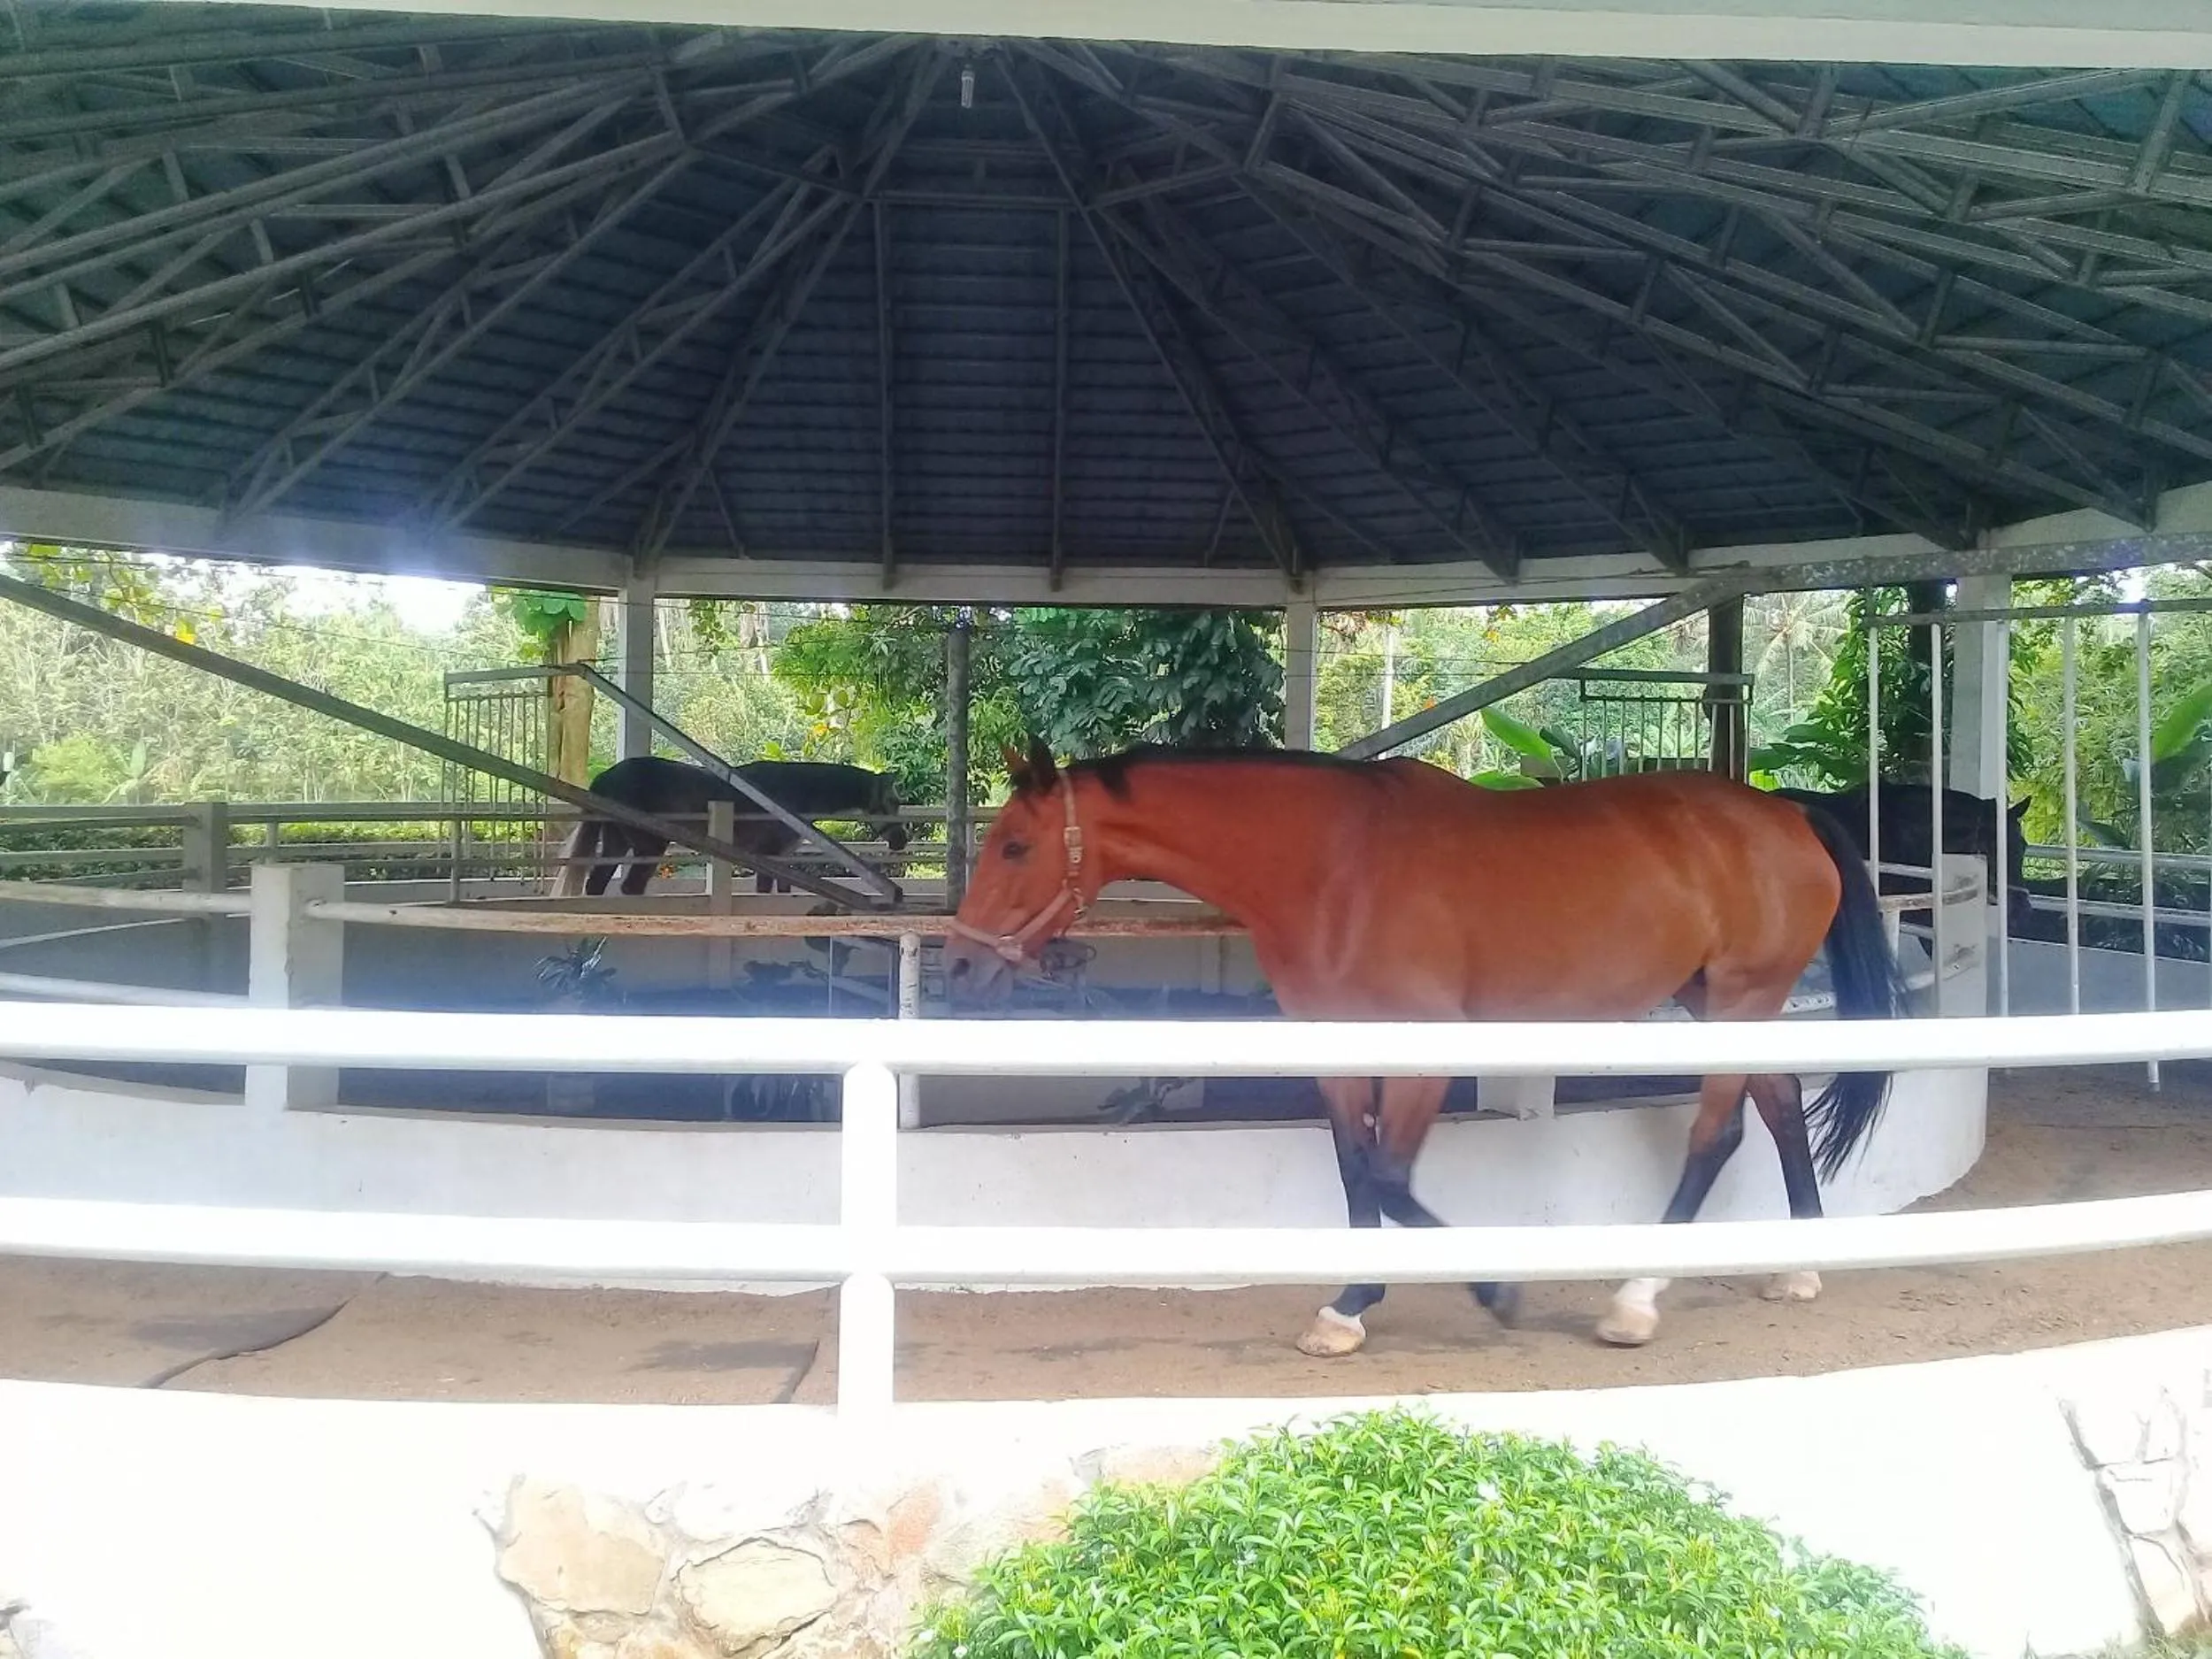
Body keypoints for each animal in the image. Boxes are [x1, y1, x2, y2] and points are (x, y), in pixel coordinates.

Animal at [552, 754, 908, 898]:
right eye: (893, 802)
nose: (901, 841)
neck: (794, 794)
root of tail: (605, 777)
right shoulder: (768, 856)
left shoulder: (782, 858)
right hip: (648, 845)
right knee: (629, 888)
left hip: (617, 842)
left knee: (597, 885)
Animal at [942, 740, 1909, 1356]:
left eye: (1016, 844)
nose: (958, 965)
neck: (1337, 870)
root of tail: (1783, 810)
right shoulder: (1335, 1052)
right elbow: (1356, 1172)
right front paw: (1348, 1308)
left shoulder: (1424, 1057)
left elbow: (1389, 1177)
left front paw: (1490, 1290)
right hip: (1718, 1000)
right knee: (1781, 1107)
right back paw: (1801, 1266)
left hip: (1743, 995)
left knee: (1718, 1133)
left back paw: (1635, 1301)